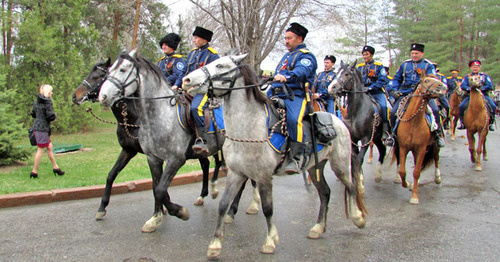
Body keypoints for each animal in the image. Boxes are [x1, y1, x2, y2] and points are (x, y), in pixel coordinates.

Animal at [71, 58, 225, 224]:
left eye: (98, 76)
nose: (75, 96)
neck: (135, 118)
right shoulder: (130, 151)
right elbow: (112, 175)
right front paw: (102, 208)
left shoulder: (168, 157)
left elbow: (157, 187)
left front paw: (166, 210)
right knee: (207, 164)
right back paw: (203, 195)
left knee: (217, 162)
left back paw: (214, 191)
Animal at [98, 49, 262, 233]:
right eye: (109, 70)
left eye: (123, 69)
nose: (103, 96)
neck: (159, 116)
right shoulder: (153, 159)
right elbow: (156, 187)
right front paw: (156, 217)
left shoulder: (176, 159)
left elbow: (161, 189)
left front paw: (180, 212)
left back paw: (244, 207)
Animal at [182, 53, 366, 258]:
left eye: (220, 65)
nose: (186, 80)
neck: (249, 129)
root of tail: (337, 120)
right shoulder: (236, 173)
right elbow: (223, 204)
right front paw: (215, 244)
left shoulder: (264, 177)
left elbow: (268, 209)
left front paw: (270, 241)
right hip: (315, 167)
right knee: (325, 193)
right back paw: (318, 228)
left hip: (340, 165)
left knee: (351, 187)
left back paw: (358, 218)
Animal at [392, 74, 448, 205]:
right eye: (426, 81)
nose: (443, 86)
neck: (413, 122)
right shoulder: (403, 147)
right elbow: (402, 171)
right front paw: (407, 183)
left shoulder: (422, 148)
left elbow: (416, 172)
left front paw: (414, 197)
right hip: (414, 149)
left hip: (434, 146)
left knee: (436, 159)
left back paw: (437, 178)